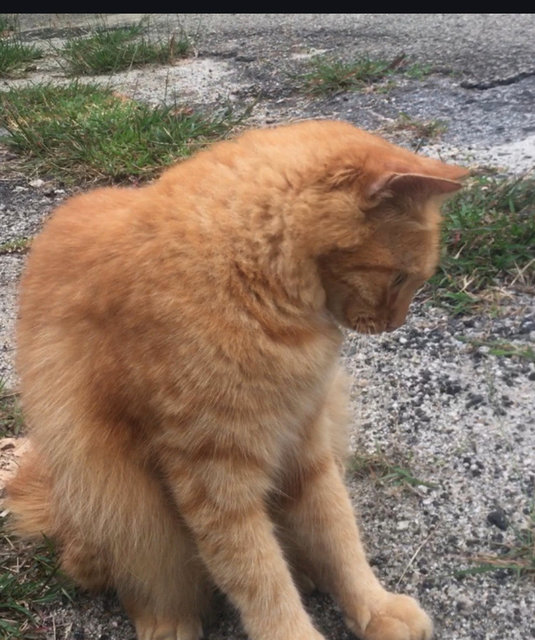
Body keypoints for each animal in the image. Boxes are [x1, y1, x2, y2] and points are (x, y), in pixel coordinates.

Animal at [5, 121, 464, 640]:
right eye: (401, 279)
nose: (394, 324)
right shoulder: (215, 479)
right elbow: (258, 575)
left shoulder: (306, 446)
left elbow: (337, 535)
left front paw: (373, 605)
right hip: (111, 495)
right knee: (136, 578)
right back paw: (167, 622)